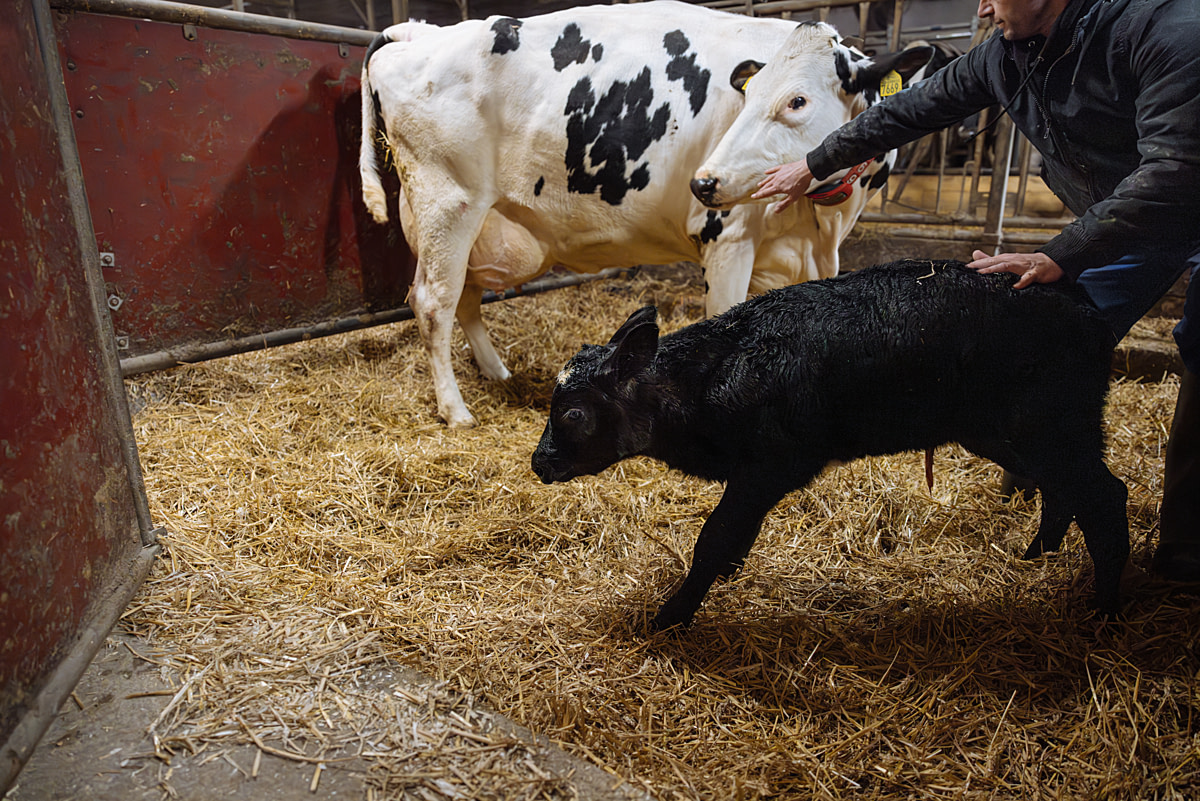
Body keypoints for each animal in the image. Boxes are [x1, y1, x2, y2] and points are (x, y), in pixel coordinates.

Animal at [359, 1, 932, 427]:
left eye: (797, 101)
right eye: (747, 99)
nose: (704, 182)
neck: (817, 229)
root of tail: (419, 32)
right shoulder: (727, 239)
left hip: (478, 221)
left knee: (467, 297)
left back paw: (497, 373)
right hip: (447, 201)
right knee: (434, 302)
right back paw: (456, 410)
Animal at [531, 260, 1130, 630]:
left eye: (574, 414)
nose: (539, 463)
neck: (718, 373)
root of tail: (1086, 308)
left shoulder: (769, 465)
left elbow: (716, 540)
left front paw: (669, 617)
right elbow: (732, 540)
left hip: (1049, 427)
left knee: (1104, 496)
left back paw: (1104, 612)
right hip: (1010, 433)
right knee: (1065, 494)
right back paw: (1035, 559)